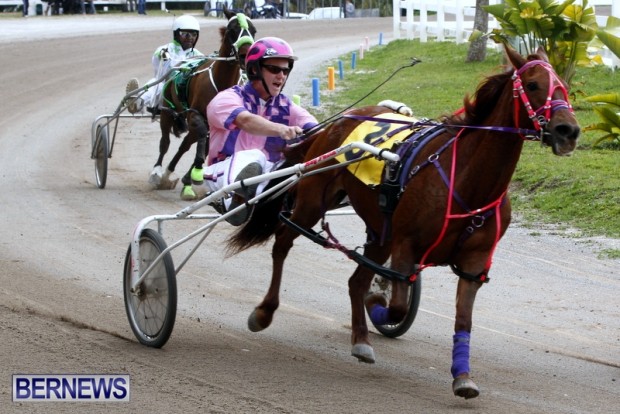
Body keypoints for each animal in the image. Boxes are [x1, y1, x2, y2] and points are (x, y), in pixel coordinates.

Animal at [150, 9, 256, 197]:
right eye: (232, 30)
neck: (221, 84)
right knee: (165, 142)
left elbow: (207, 147)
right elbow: (201, 138)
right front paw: (197, 169)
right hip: (167, 112)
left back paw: (172, 175)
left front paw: (191, 177)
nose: (246, 54)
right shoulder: (194, 114)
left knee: (185, 145)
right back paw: (158, 172)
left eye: (253, 30)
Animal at [225, 47, 580, 400]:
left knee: (355, 279)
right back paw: (265, 311)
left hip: (380, 234)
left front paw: (463, 377)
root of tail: (341, 119)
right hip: (313, 201)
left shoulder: (473, 263)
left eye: (564, 85)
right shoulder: (406, 245)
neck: (466, 180)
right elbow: (395, 305)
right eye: (533, 85)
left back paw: (361, 340)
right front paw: (378, 303)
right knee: (283, 242)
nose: (569, 131)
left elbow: (463, 320)